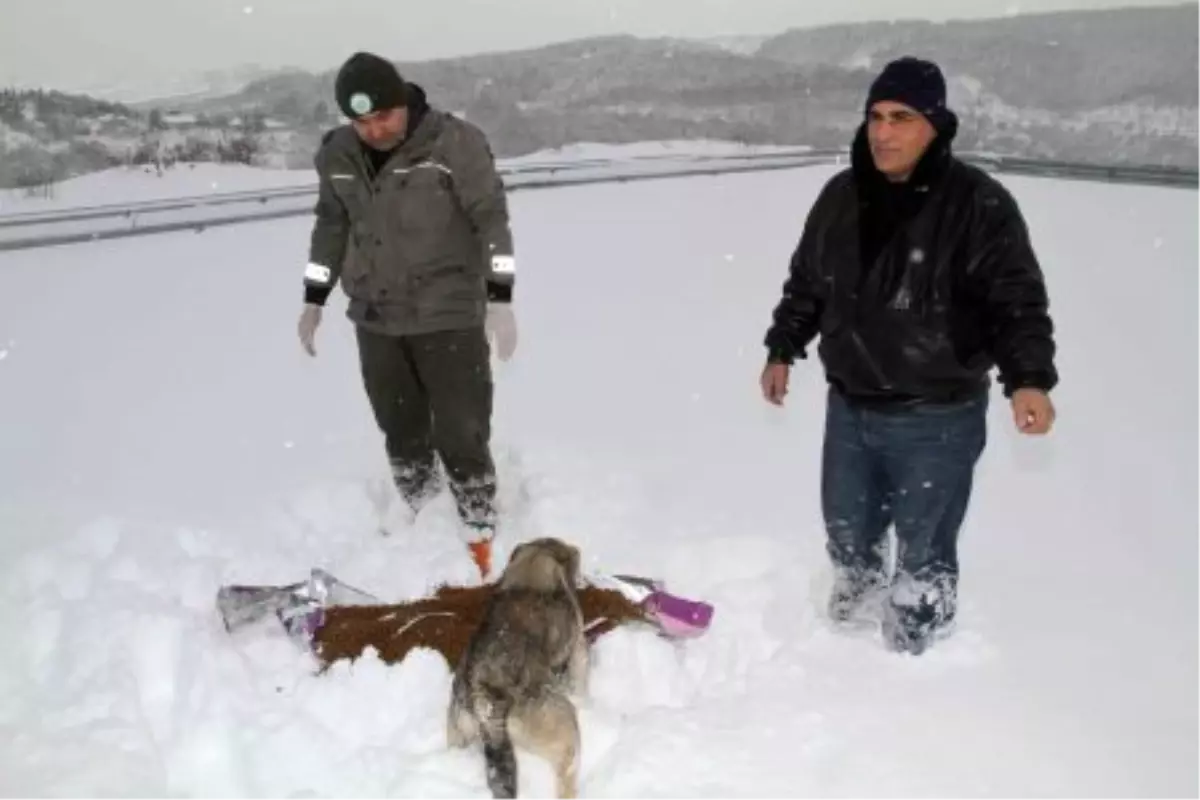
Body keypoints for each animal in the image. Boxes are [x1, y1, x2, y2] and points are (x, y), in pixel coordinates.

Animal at [446, 537, 590, 800]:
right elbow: (580, 682)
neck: (528, 577)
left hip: (457, 733)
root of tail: (484, 700)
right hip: (565, 733)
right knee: (566, 778)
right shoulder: (578, 649)